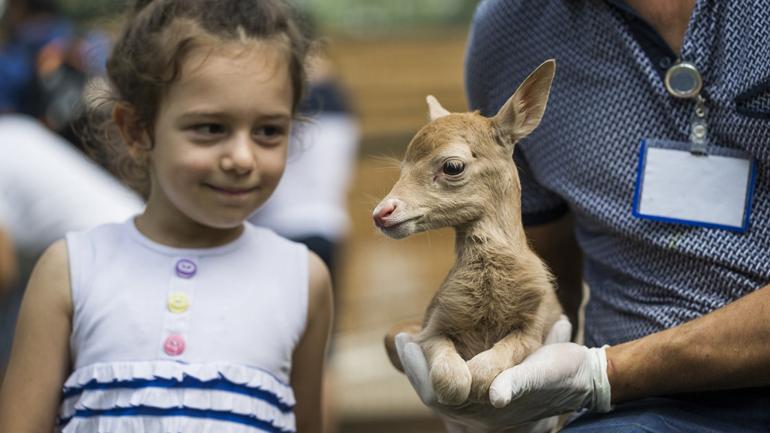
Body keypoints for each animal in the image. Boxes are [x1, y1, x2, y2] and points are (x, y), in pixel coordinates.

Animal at [372, 60, 564, 410]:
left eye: (452, 166)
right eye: (402, 168)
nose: (382, 213)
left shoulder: (535, 325)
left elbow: (489, 367)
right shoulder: (431, 325)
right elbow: (452, 377)